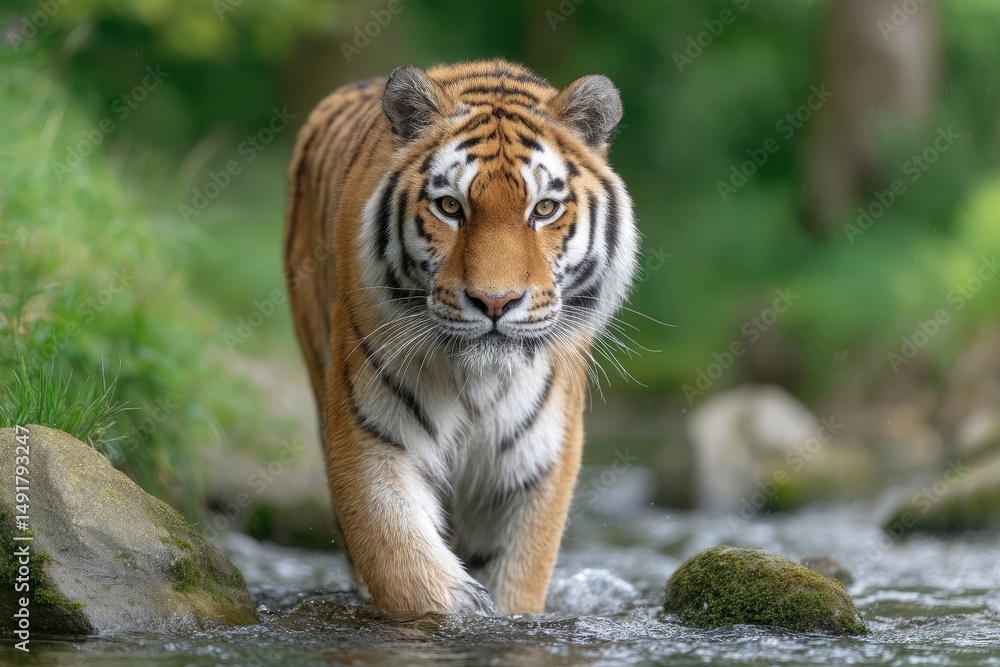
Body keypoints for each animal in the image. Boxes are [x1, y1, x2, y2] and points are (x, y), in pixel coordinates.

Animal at [283, 58, 638, 616]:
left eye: (544, 209)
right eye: (450, 207)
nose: (495, 301)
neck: (479, 383)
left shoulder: (535, 463)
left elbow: (516, 577)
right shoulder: (373, 439)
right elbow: (409, 569)